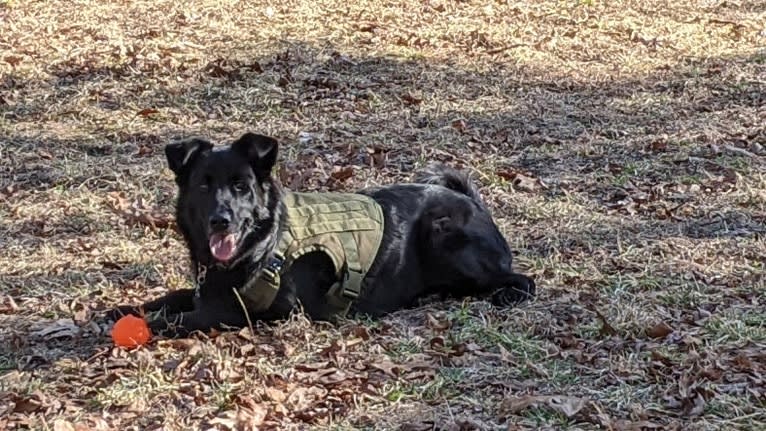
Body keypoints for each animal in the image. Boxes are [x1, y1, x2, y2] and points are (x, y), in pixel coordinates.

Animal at [111, 132, 536, 338]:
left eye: (241, 186)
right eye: (204, 184)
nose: (221, 220)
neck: (264, 241)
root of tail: (473, 201)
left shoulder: (253, 310)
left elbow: (183, 318)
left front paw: (149, 324)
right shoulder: (208, 288)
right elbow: (169, 298)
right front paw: (123, 308)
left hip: (443, 234)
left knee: (523, 280)